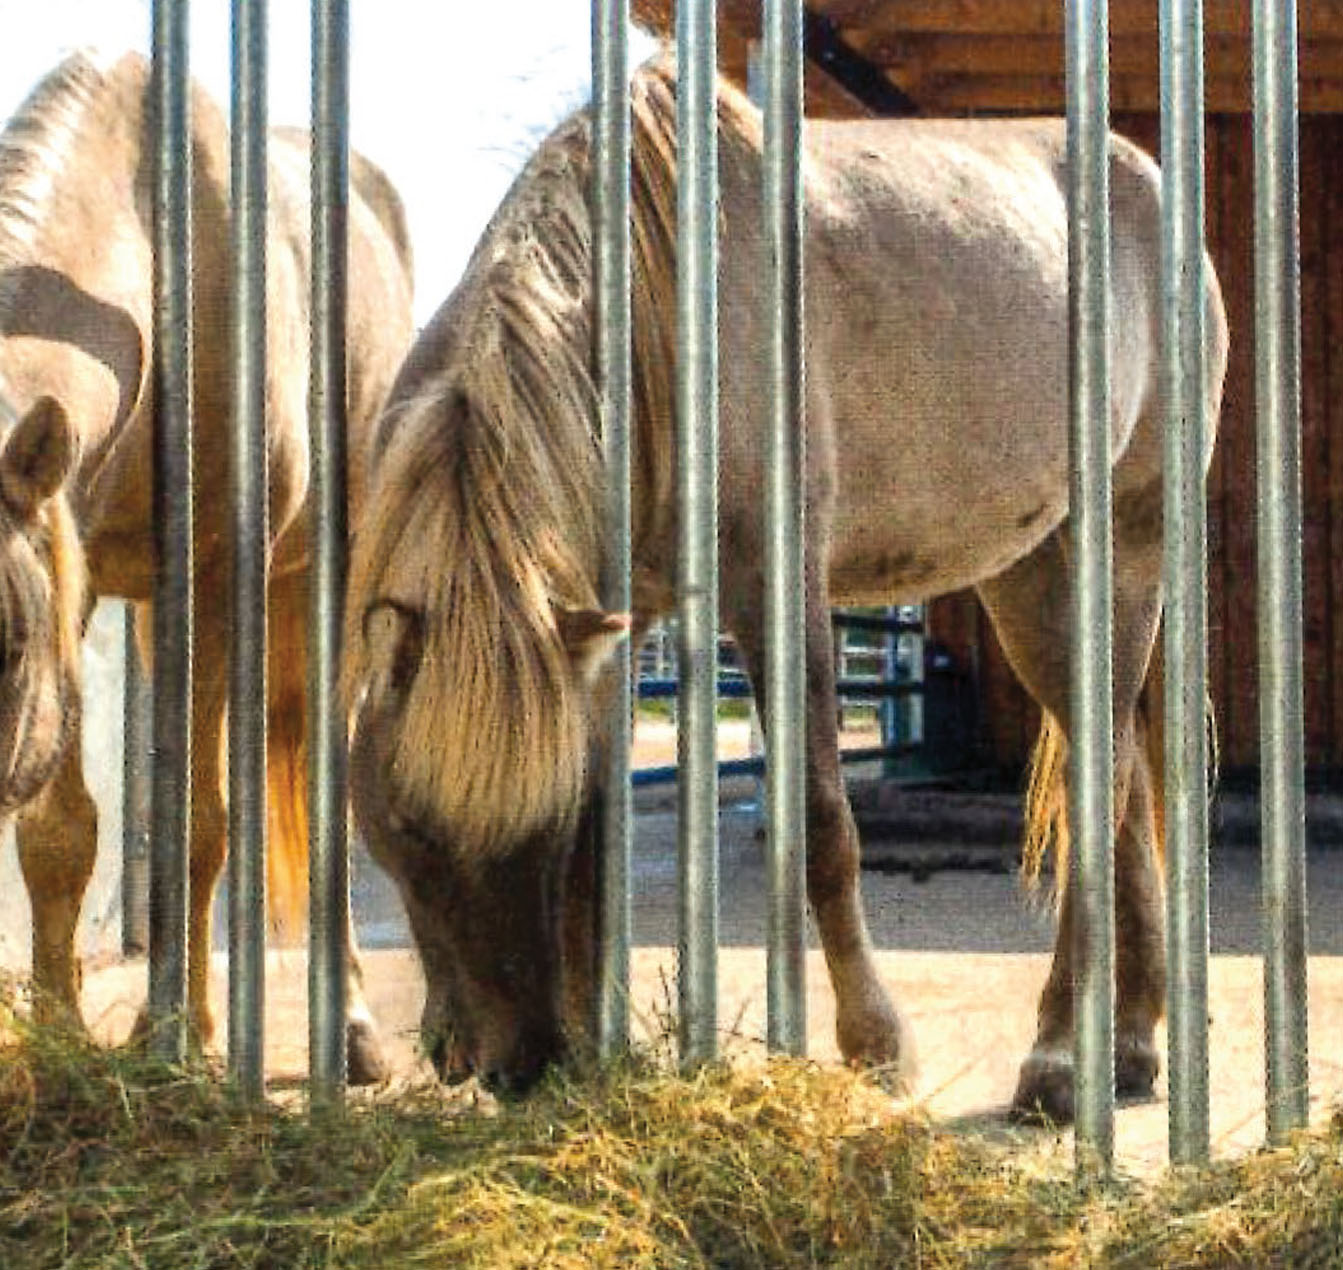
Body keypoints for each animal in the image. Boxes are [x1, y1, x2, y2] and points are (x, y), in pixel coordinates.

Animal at [0, 49, 413, 1079]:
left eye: (9, 647)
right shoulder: (77, 579)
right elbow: (61, 834)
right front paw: (63, 1039)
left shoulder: (219, 581)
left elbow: (199, 825)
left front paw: (179, 1039)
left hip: (319, 586)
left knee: (324, 802)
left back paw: (350, 1030)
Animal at [343, 57, 1230, 1106]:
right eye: (404, 825)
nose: (514, 1062)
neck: (660, 312)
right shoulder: (607, 623)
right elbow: (602, 836)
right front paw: (600, 1050)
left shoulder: (777, 590)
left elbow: (820, 825)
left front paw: (876, 1047)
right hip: (1030, 579)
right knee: (1122, 774)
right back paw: (1130, 1045)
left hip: (1124, 548)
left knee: (1103, 776)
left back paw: (1058, 1057)